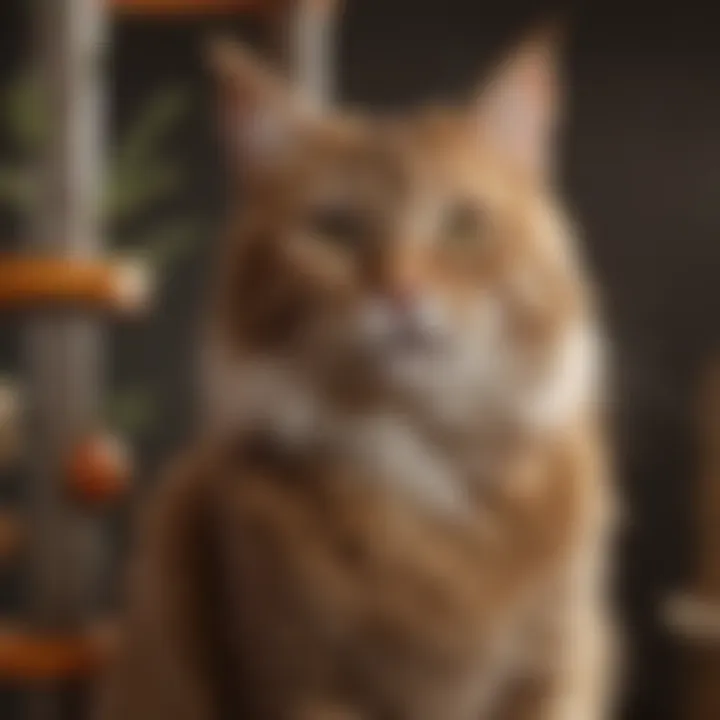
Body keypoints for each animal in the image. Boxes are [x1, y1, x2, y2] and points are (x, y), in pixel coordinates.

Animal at [97, 25, 620, 716]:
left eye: (462, 224)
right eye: (335, 229)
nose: (400, 291)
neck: (423, 464)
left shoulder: (556, 663)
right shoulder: (300, 677)